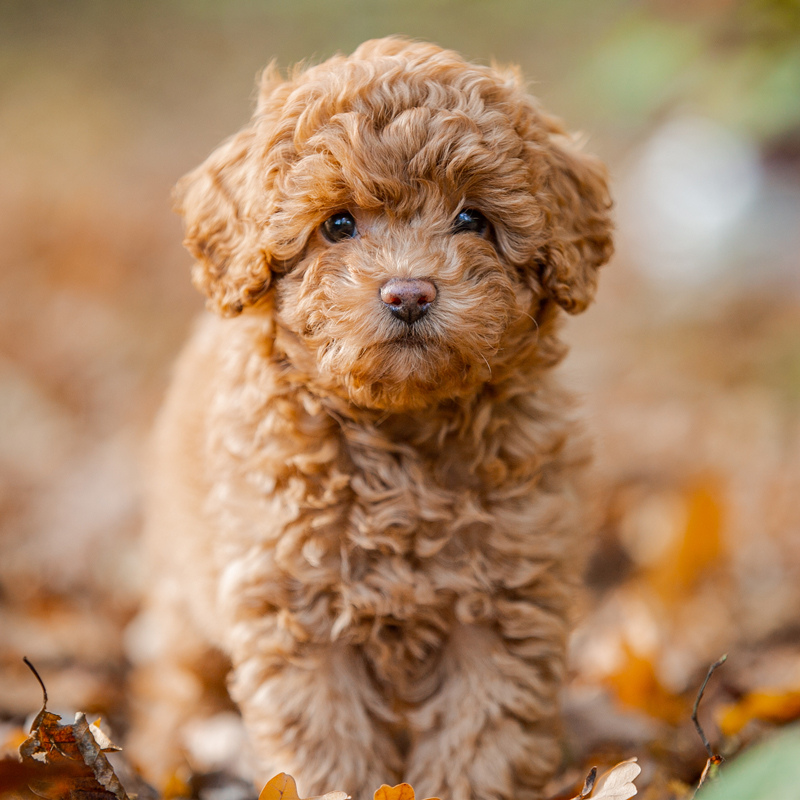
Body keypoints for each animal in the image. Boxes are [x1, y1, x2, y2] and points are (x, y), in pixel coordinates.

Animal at [130, 36, 612, 800]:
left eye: (471, 219)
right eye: (337, 224)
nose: (409, 292)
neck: (401, 435)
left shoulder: (503, 596)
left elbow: (484, 729)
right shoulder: (299, 606)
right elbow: (326, 737)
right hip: (183, 582)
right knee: (178, 674)